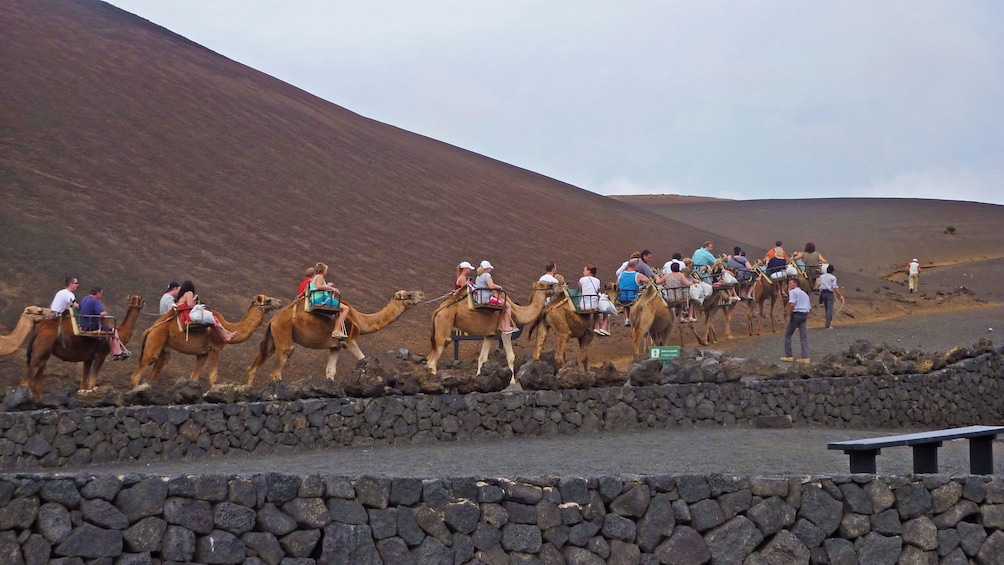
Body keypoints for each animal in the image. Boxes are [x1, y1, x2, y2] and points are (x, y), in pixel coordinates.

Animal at [131, 291, 279, 389]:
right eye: (268, 300)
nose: (279, 302)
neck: (228, 326)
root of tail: (150, 329)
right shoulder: (215, 348)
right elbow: (213, 376)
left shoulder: (203, 353)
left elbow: (194, 377)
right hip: (156, 338)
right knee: (139, 372)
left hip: (163, 345)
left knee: (154, 372)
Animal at [249, 291, 427, 385]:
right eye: (409, 294)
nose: (421, 294)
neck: (360, 320)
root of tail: (273, 320)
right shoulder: (349, 340)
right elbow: (363, 358)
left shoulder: (335, 346)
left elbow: (330, 370)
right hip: (283, 331)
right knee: (278, 368)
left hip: (272, 338)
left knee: (255, 365)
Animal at [427, 280, 558, 377]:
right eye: (549, 284)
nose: (560, 285)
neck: (516, 311)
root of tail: (438, 310)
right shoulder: (505, 331)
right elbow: (511, 356)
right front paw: (512, 381)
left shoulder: (490, 334)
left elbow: (482, 357)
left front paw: (479, 376)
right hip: (444, 321)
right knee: (433, 359)